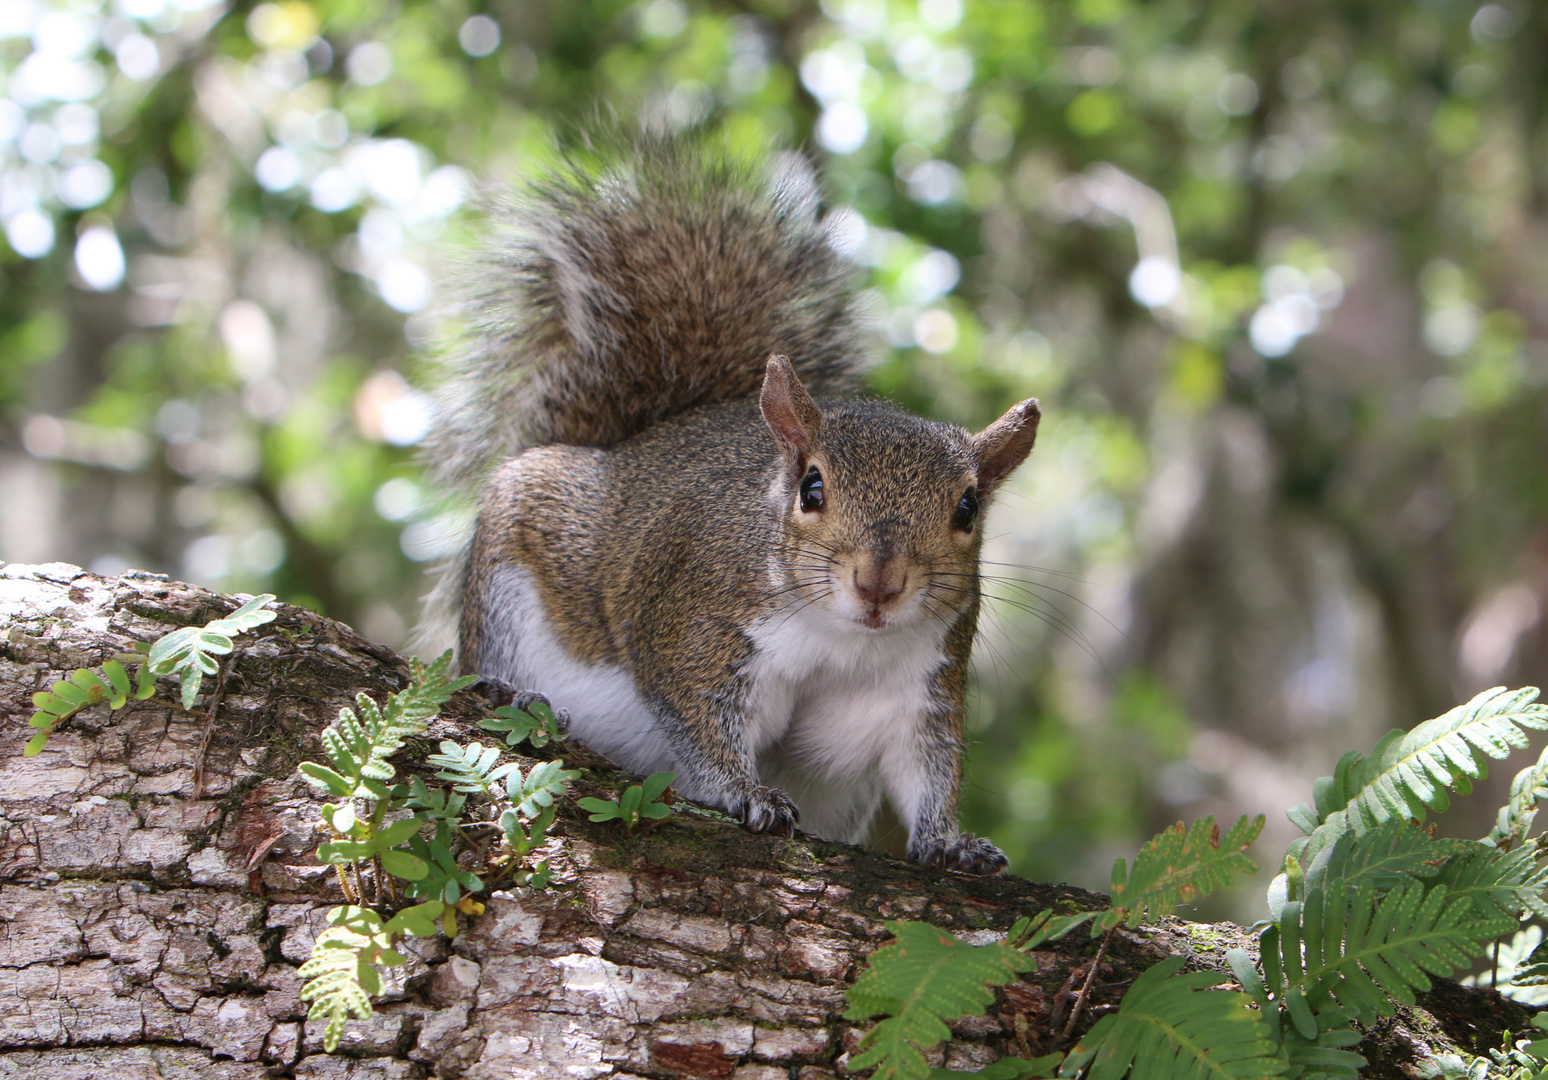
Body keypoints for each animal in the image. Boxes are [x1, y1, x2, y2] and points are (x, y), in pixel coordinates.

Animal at [421, 134, 1040, 872]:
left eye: (968, 510)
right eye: (811, 488)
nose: (879, 584)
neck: (843, 639)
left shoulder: (921, 684)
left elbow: (928, 767)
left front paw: (951, 842)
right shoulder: (697, 626)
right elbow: (696, 714)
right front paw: (745, 792)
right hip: (511, 563)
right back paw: (508, 688)